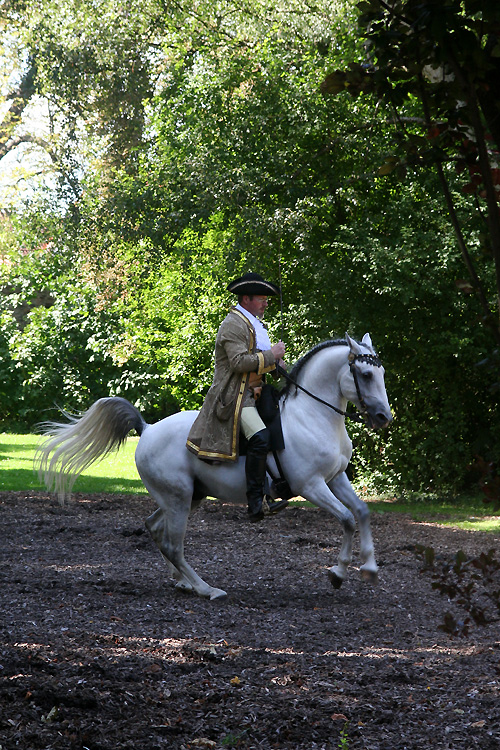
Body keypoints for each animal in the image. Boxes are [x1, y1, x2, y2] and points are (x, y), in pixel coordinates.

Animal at [37, 334, 392, 600]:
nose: (384, 417)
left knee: (155, 528)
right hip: (179, 498)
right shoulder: (311, 486)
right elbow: (346, 519)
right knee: (172, 543)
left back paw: (182, 581)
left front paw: (370, 569)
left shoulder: (335, 478)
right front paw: (339, 572)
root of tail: (148, 429)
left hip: (186, 497)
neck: (313, 416)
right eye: (365, 375)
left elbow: (362, 512)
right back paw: (206, 589)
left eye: (382, 373)